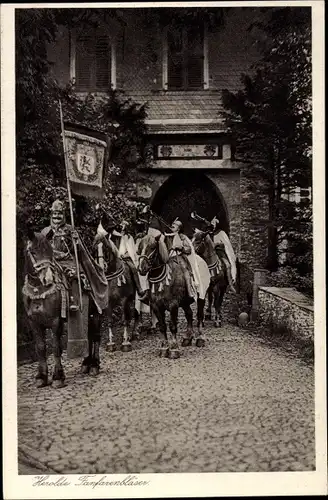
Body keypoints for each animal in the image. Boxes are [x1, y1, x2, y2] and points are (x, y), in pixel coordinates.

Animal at [22, 230, 101, 386]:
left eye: (50, 252)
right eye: (33, 252)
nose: (47, 279)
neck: (39, 291)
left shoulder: (55, 321)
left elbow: (56, 347)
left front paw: (58, 377)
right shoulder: (34, 322)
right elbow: (40, 347)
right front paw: (41, 376)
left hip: (94, 313)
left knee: (95, 336)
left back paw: (94, 365)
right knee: (88, 335)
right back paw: (86, 364)